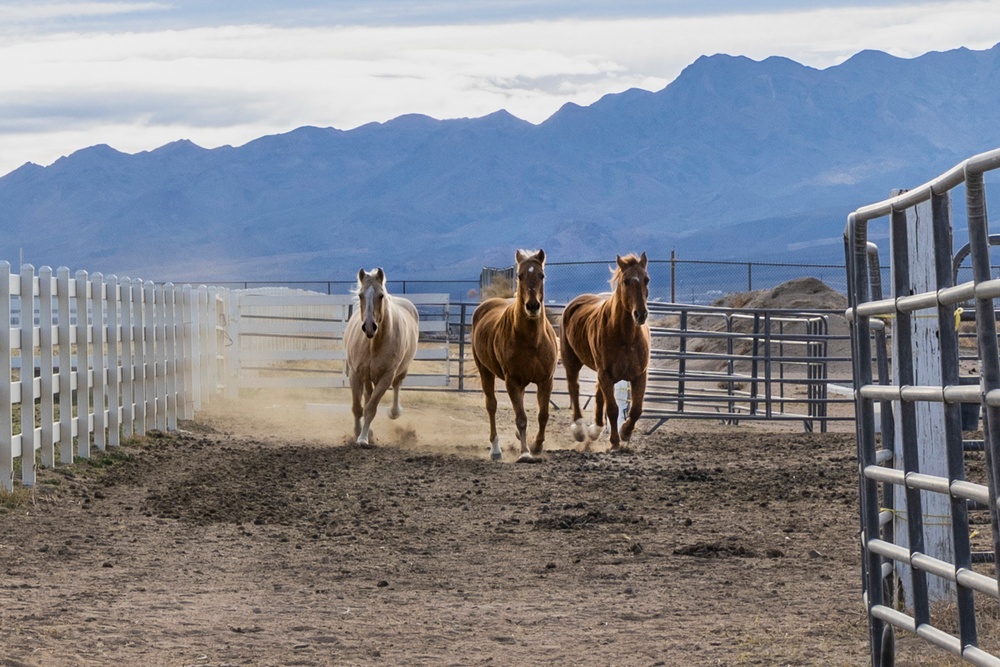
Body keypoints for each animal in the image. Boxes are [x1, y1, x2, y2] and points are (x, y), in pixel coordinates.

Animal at [346, 268, 420, 448]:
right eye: (360, 295)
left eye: (381, 296)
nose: (369, 327)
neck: (374, 343)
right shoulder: (355, 373)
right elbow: (357, 407)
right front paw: (358, 432)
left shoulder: (386, 376)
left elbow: (371, 408)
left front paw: (363, 438)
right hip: (367, 376)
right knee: (366, 395)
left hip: (401, 370)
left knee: (396, 386)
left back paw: (394, 412)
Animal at [472, 248, 560, 462]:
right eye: (520, 276)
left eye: (541, 275)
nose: (532, 306)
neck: (532, 340)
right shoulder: (511, 381)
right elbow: (521, 418)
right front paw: (525, 453)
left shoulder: (546, 380)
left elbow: (543, 415)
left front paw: (536, 445)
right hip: (485, 371)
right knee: (491, 406)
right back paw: (496, 450)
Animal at [560, 253, 652, 452]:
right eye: (626, 281)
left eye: (646, 279)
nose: (641, 314)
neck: (626, 337)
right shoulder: (606, 374)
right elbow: (613, 409)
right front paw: (615, 442)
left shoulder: (639, 375)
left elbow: (636, 409)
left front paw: (625, 432)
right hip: (571, 361)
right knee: (574, 388)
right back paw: (579, 429)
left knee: (597, 392)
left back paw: (595, 429)